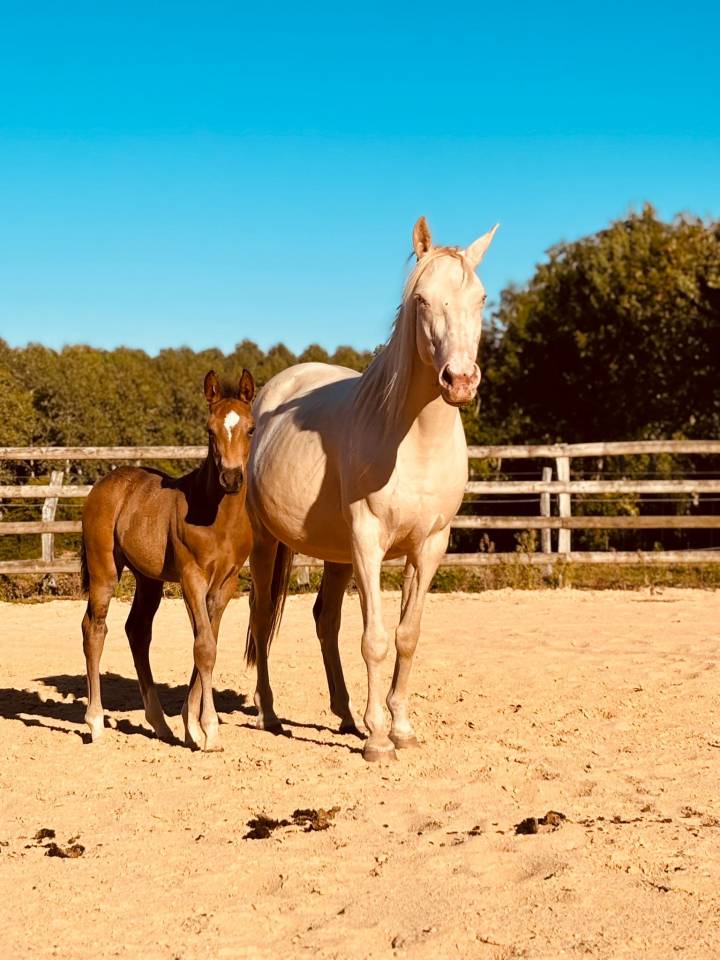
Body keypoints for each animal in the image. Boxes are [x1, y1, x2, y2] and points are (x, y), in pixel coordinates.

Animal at [80, 369, 255, 751]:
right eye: (209, 430)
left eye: (250, 428)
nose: (231, 478)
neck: (217, 518)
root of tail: (106, 483)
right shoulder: (192, 577)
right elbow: (203, 647)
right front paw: (210, 730)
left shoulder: (226, 584)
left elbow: (207, 642)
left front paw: (192, 728)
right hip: (104, 572)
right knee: (94, 628)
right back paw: (96, 723)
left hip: (149, 580)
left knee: (137, 631)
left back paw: (160, 724)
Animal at [245, 216, 498, 761]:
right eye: (421, 299)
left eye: (482, 298)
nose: (460, 380)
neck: (412, 440)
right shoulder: (369, 541)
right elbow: (375, 639)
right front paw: (379, 739)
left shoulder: (430, 545)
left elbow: (406, 636)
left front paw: (400, 727)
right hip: (267, 542)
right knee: (261, 617)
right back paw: (270, 713)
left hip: (337, 554)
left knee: (325, 619)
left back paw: (344, 715)